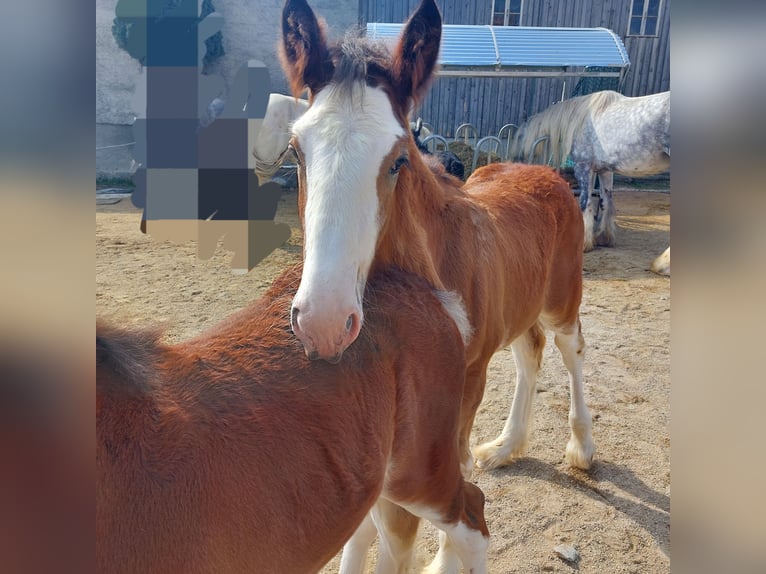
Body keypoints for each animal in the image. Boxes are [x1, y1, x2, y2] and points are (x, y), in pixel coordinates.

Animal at [510, 89, 670, 252]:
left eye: (518, 136)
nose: (513, 160)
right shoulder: (604, 170)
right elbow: (605, 201)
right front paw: (603, 238)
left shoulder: (583, 167)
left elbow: (584, 202)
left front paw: (584, 243)